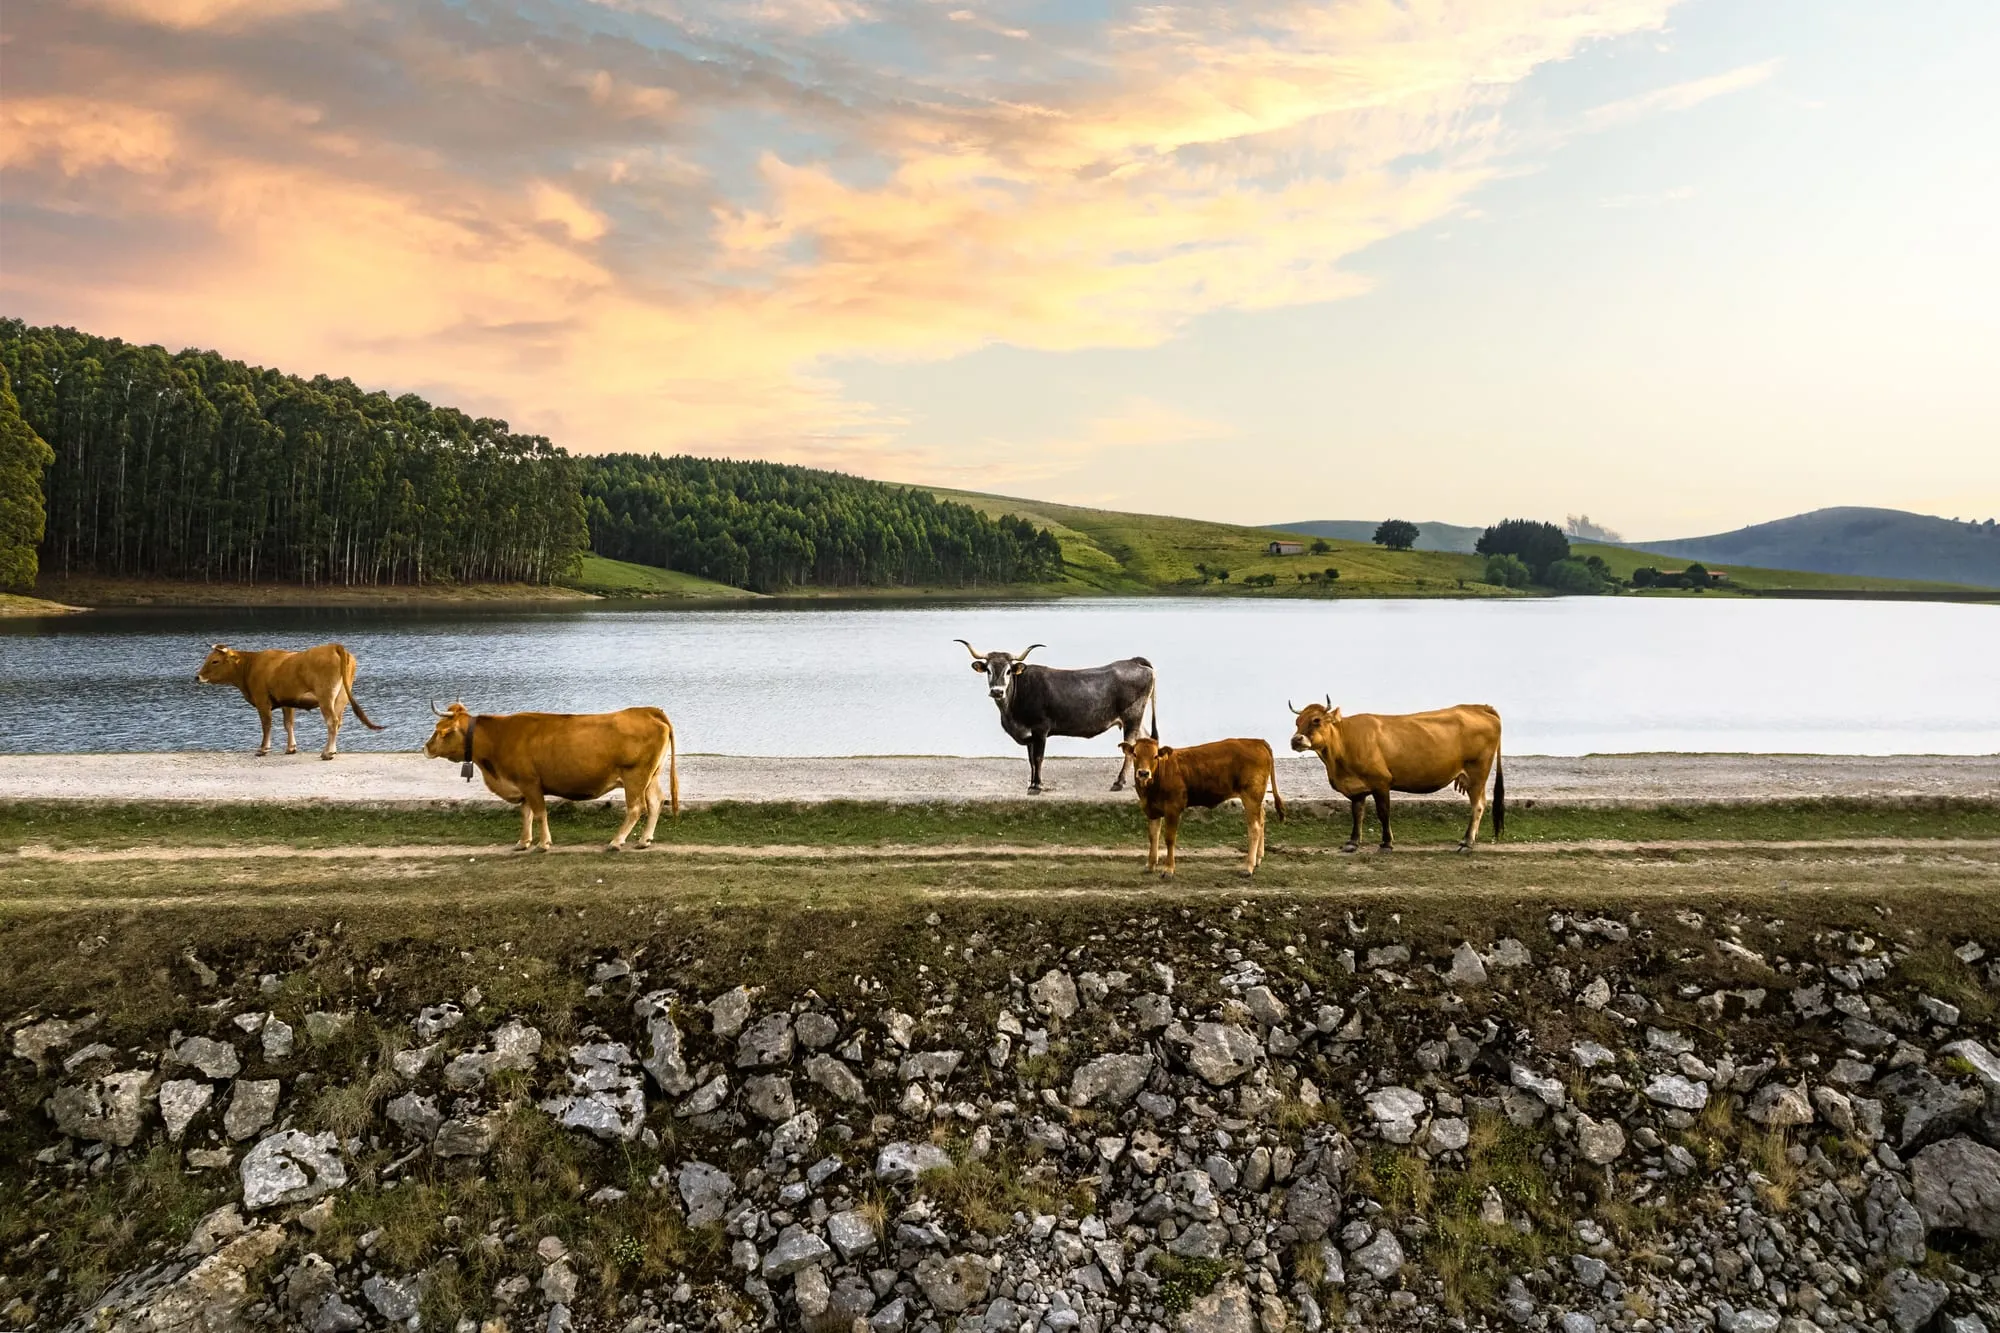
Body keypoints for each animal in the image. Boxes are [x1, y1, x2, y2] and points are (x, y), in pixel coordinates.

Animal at [196, 642, 386, 759]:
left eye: (215, 661)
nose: (197, 677)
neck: (251, 666)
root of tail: (333, 646)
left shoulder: (262, 700)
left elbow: (266, 725)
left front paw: (263, 749)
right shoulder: (287, 701)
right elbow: (288, 724)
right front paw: (291, 748)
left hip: (326, 695)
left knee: (332, 721)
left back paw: (327, 753)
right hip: (341, 697)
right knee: (338, 721)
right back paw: (331, 750)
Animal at [422, 702, 680, 852]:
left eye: (439, 730)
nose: (425, 748)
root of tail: (647, 710)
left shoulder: (530, 783)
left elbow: (539, 813)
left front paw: (543, 844)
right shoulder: (521, 785)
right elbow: (525, 814)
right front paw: (523, 842)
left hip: (635, 775)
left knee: (636, 807)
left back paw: (616, 841)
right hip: (651, 775)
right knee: (656, 801)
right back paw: (644, 840)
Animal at [954, 640, 1156, 793]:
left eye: (1008, 671)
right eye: (988, 670)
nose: (997, 691)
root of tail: (1134, 661)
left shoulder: (1040, 729)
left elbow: (1038, 758)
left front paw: (1037, 786)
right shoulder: (1029, 735)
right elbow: (1031, 760)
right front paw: (1032, 783)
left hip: (1132, 716)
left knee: (1130, 747)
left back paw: (1119, 782)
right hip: (1136, 719)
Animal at [1121, 736, 1284, 877]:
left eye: (1155, 756)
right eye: (1135, 754)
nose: (1143, 773)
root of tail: (1257, 741)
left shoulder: (1173, 809)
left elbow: (1169, 838)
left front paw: (1168, 869)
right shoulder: (1152, 810)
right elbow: (1153, 836)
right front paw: (1150, 865)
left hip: (1251, 795)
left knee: (1254, 827)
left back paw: (1248, 867)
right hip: (1256, 798)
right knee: (1261, 819)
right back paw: (1258, 859)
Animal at [1287, 699, 1503, 853]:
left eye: (1316, 720)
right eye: (1297, 722)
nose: (1296, 740)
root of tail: (1479, 708)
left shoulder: (1381, 782)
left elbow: (1383, 812)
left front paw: (1386, 843)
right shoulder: (1356, 788)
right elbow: (1357, 813)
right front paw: (1353, 842)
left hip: (1477, 772)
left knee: (1478, 805)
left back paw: (1467, 843)